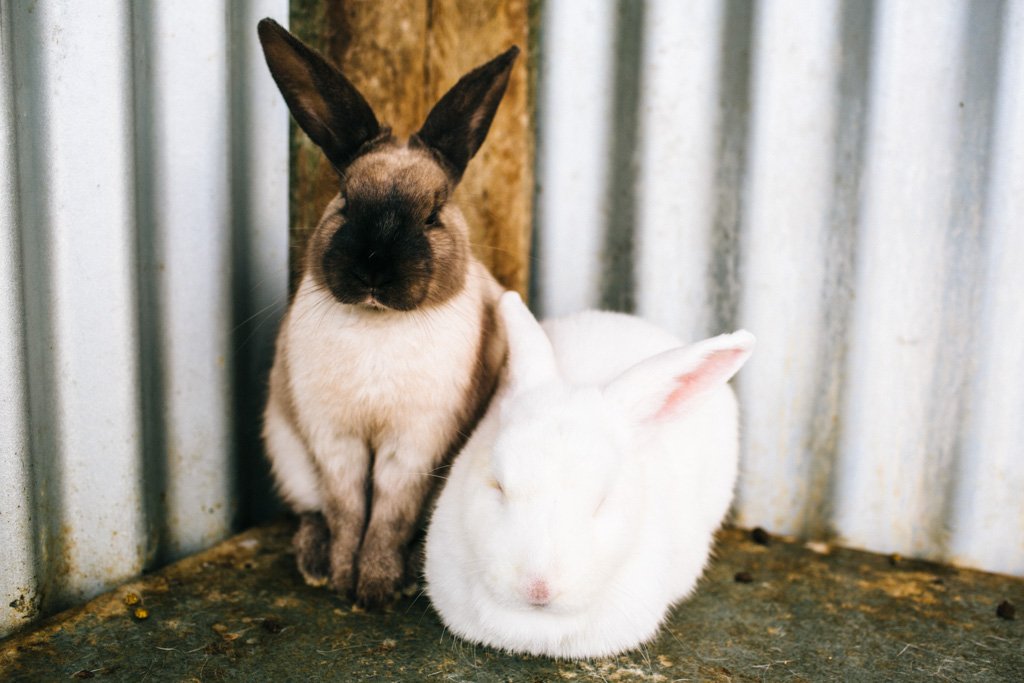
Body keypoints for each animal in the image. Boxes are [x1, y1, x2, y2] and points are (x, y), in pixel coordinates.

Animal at [256, 18, 512, 606]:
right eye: (345, 202)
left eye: (434, 214)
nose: (374, 270)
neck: (378, 325)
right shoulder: (335, 441)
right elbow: (348, 510)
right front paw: (343, 580)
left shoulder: (414, 445)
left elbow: (390, 516)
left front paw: (373, 590)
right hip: (287, 452)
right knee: (311, 512)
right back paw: (314, 561)